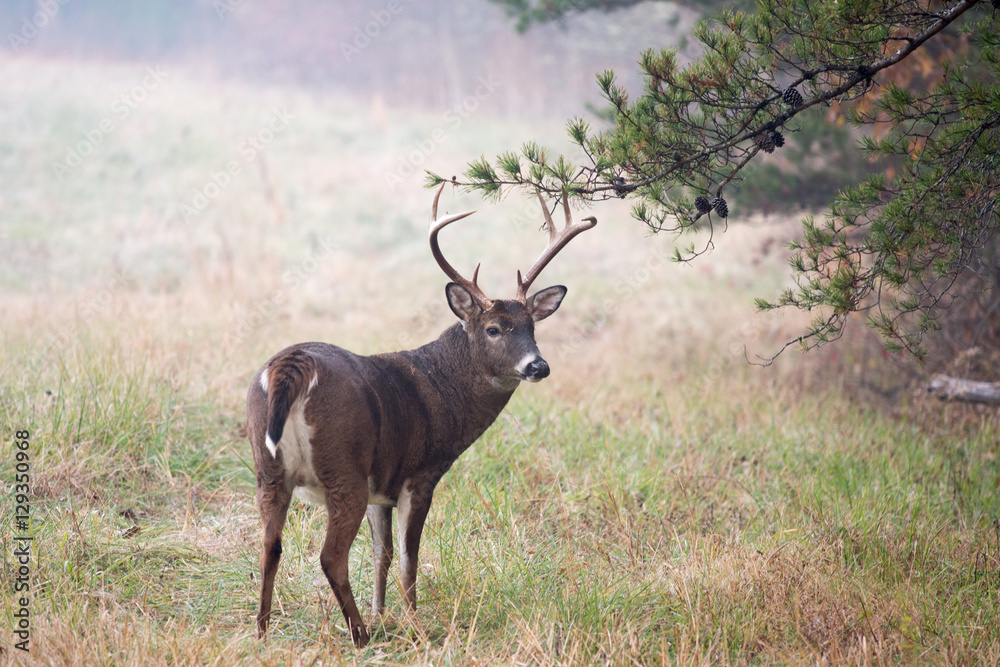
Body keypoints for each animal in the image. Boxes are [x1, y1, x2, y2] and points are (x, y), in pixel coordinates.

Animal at [247, 183, 596, 648]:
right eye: (493, 329)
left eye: (532, 328)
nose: (538, 366)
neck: (441, 387)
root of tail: (291, 365)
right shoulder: (421, 474)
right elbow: (409, 558)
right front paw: (415, 626)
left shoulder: (381, 486)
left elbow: (382, 554)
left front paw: (382, 614)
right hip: (343, 466)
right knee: (330, 556)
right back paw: (358, 635)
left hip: (268, 467)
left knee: (270, 544)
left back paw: (264, 631)